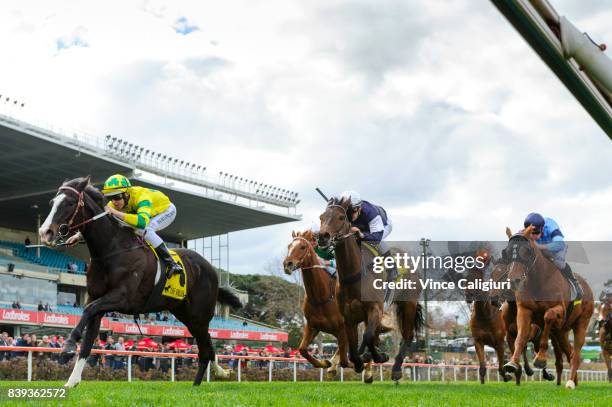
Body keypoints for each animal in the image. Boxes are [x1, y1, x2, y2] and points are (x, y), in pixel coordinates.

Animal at [38, 178, 241, 388]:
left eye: (70, 202)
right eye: (52, 202)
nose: (45, 232)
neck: (112, 250)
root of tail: (210, 269)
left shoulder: (122, 298)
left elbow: (87, 311)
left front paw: (69, 344)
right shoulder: (96, 298)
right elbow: (88, 338)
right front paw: (72, 381)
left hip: (199, 315)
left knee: (205, 348)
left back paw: (207, 379)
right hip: (185, 313)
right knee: (207, 344)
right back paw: (212, 376)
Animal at [282, 231, 372, 384]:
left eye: (302, 246)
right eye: (289, 246)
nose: (287, 264)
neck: (320, 297)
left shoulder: (342, 327)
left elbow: (346, 360)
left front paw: (360, 364)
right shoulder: (312, 326)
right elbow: (302, 349)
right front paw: (325, 363)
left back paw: (367, 372)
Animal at [318, 198, 424, 382]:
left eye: (340, 217)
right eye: (322, 217)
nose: (322, 237)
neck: (354, 275)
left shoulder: (375, 308)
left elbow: (367, 336)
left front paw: (380, 357)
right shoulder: (349, 316)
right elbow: (354, 346)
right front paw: (359, 361)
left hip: (408, 302)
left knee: (407, 335)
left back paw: (396, 369)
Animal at [502, 226, 592, 388]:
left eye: (526, 251)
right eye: (506, 252)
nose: (514, 280)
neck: (539, 281)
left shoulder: (560, 310)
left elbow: (548, 316)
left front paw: (540, 358)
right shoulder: (524, 310)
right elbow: (521, 337)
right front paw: (512, 363)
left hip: (582, 323)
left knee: (576, 352)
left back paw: (570, 382)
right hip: (561, 332)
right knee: (569, 352)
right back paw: (574, 380)